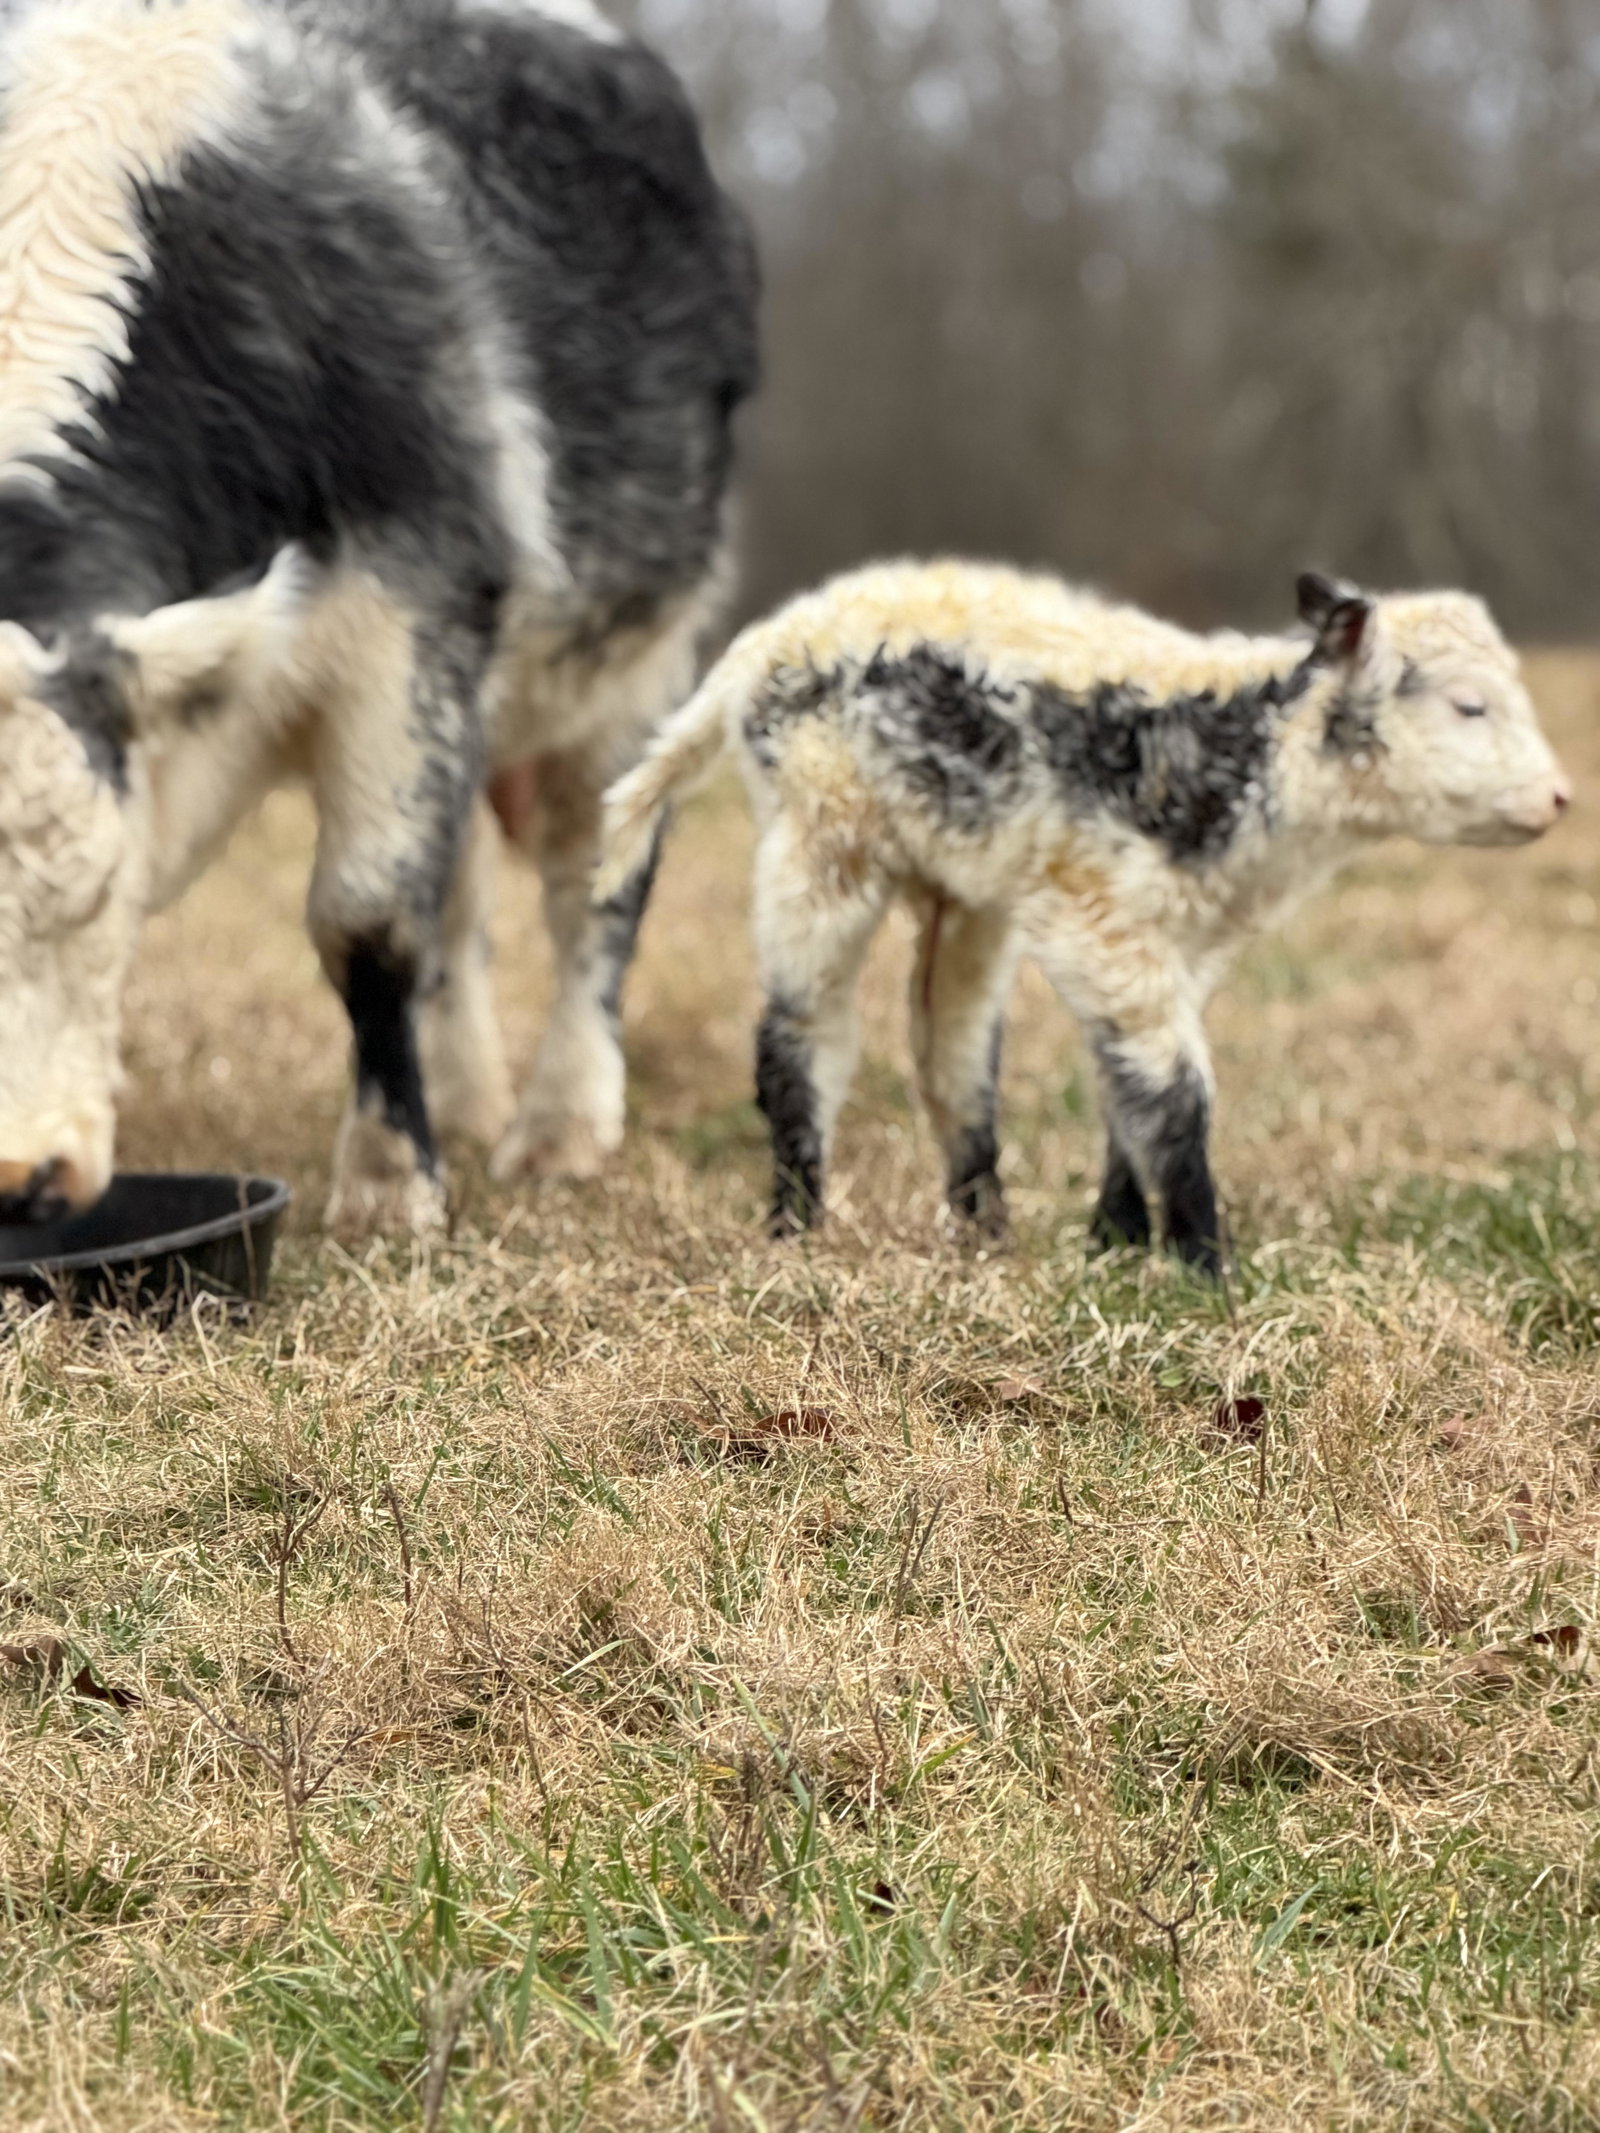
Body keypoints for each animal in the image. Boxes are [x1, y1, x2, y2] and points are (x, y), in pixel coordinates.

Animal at [0, 0, 759, 1231]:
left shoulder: (409, 624)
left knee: (591, 886)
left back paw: (560, 1124)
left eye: (101, 889)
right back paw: (464, 1097)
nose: (20, 1185)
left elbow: (366, 921)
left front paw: (388, 1186)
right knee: (464, 900)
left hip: (631, 663)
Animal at [597, 561, 1571, 1271]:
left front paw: (1120, 1242)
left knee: (950, 1055)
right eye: (1469, 704)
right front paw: (1204, 1264)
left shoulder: (1179, 941)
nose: (1561, 797)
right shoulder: (1102, 925)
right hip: (821, 847)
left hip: (964, 891)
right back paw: (797, 1226)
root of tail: (769, 635)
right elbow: (1175, 1094)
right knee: (802, 1042)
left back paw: (986, 1233)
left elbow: (1123, 1091)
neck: (1232, 757)